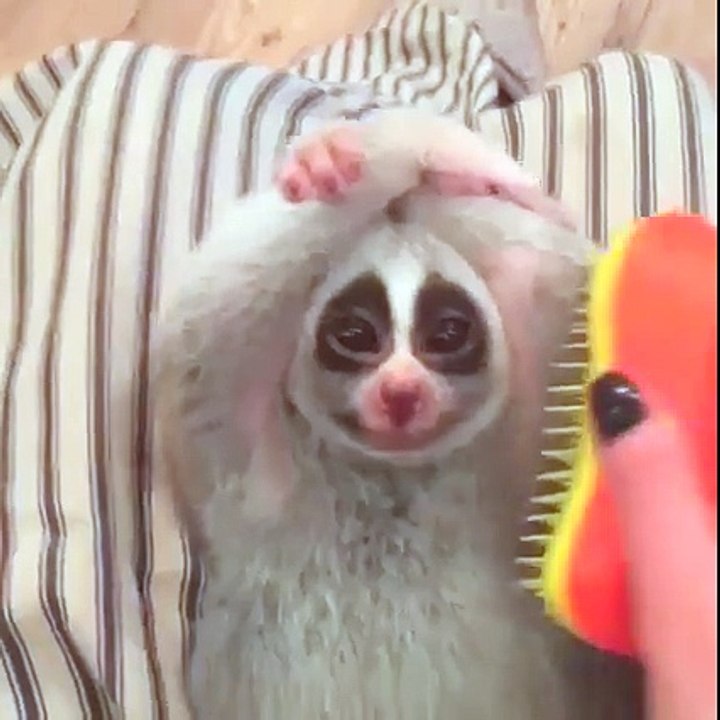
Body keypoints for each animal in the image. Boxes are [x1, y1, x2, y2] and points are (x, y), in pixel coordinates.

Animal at [153, 110, 643, 720]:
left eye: (448, 335)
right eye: (356, 334)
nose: (401, 391)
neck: (392, 478)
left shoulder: (532, 439)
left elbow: (544, 270)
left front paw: (438, 160)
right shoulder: (243, 453)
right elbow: (210, 305)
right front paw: (343, 158)